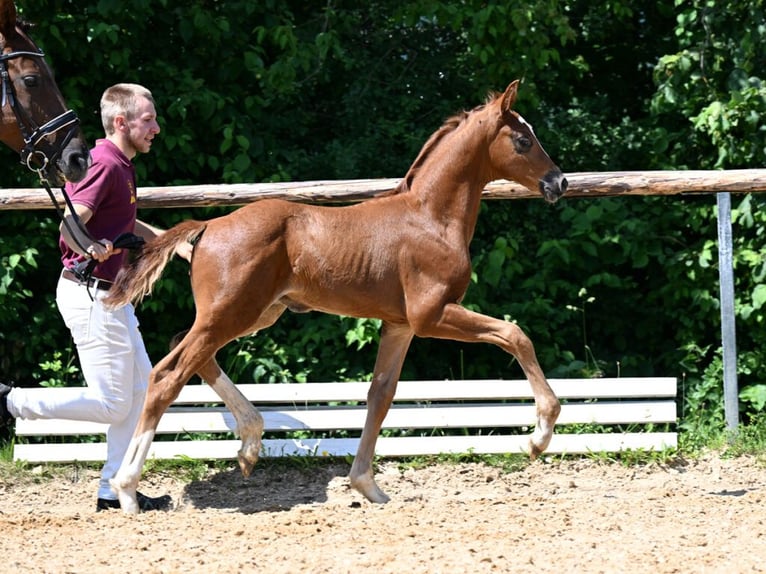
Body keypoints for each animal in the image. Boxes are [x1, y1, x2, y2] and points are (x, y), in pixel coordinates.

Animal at [105, 79, 568, 514]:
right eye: (523, 140)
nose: (559, 182)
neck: (431, 217)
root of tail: (208, 227)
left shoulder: (400, 326)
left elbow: (381, 395)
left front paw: (368, 487)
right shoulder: (431, 315)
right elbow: (513, 334)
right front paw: (538, 437)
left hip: (252, 314)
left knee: (187, 353)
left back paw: (250, 445)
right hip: (230, 314)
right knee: (167, 375)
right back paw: (127, 489)